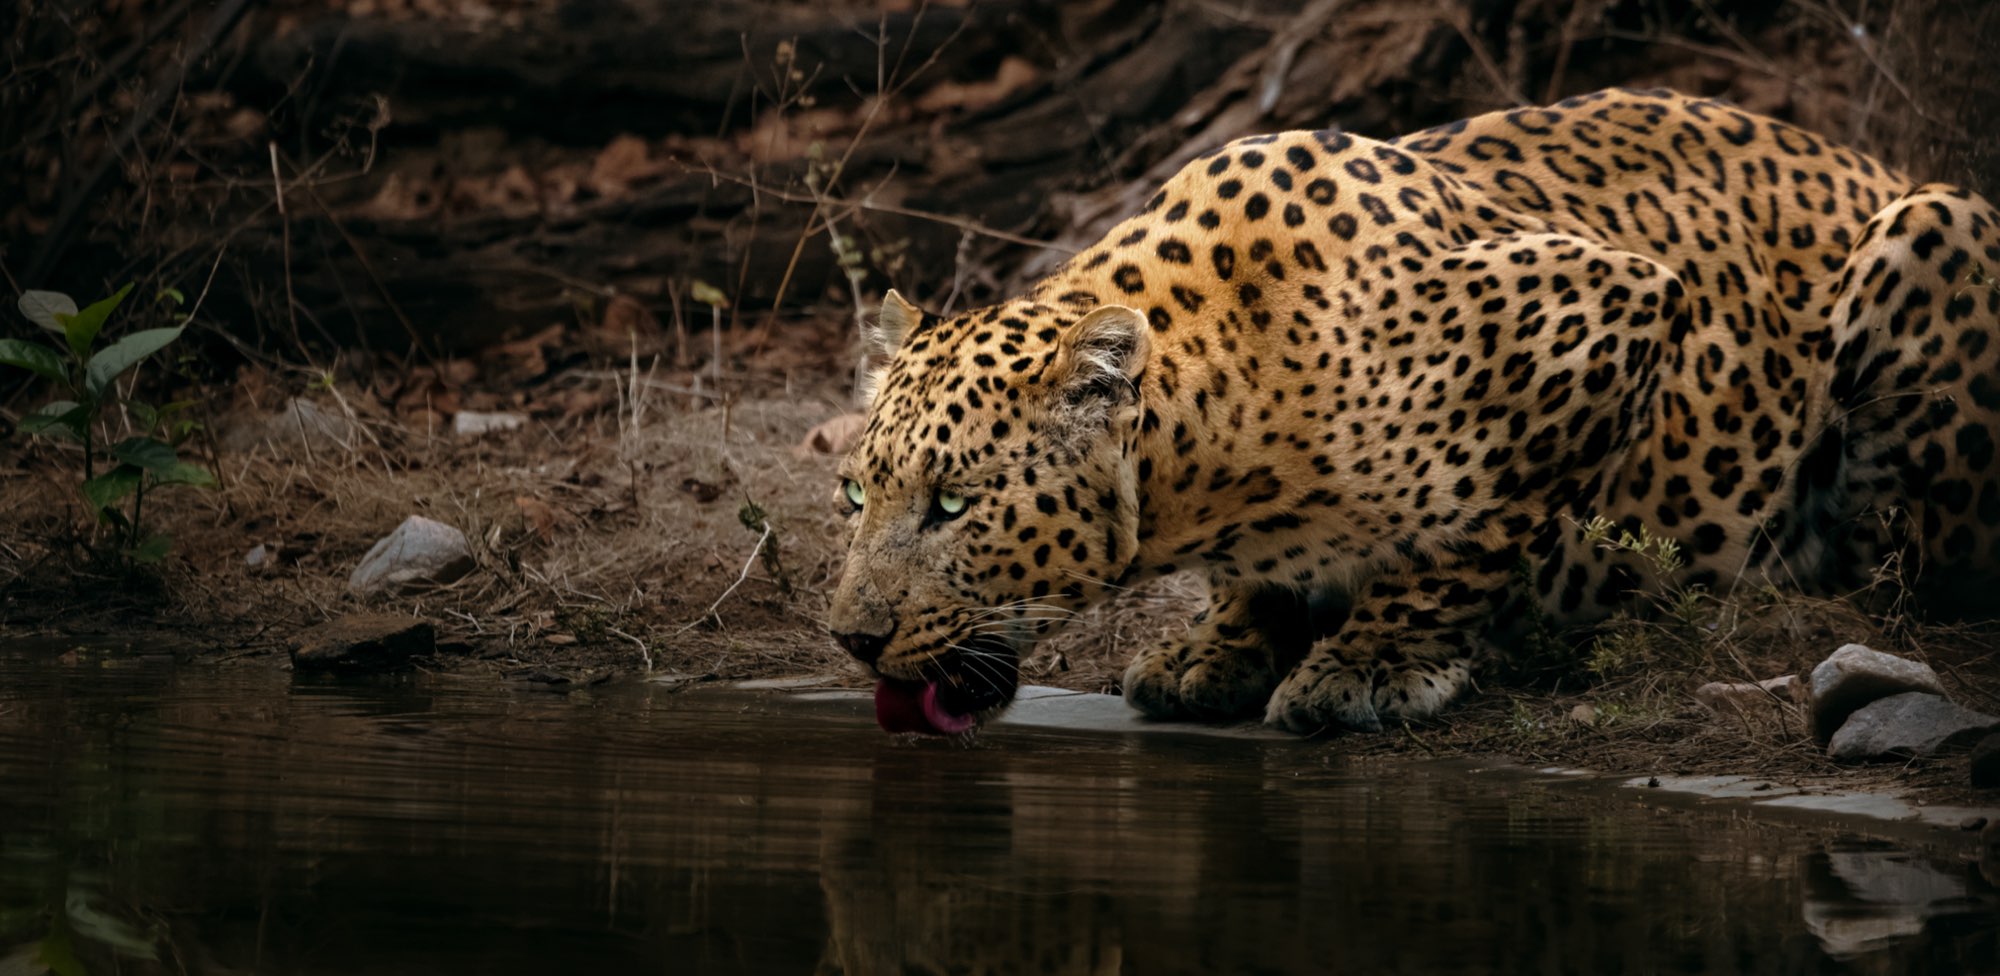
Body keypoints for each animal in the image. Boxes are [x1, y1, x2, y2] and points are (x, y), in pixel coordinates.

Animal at [826, 87, 2000, 735]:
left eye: (952, 505)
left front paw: (1371, 663)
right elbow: (1262, 580)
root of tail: (1876, 162)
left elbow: (1470, 533)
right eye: (852, 495)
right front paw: (1223, 645)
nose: (849, 639)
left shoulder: (1611, 304)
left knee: (1916, 569)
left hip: (1936, 223)